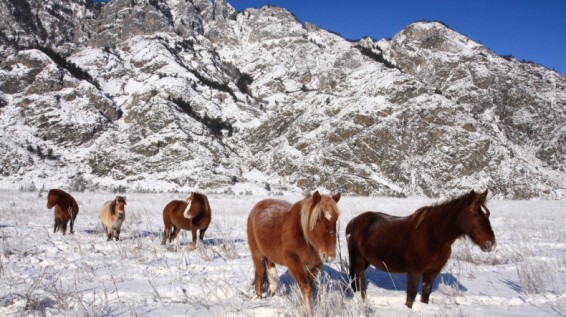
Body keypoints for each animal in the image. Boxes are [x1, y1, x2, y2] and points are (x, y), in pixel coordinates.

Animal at [346, 189, 496, 308]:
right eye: (474, 214)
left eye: (488, 214)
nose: (490, 244)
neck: (434, 236)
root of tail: (353, 222)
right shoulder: (414, 270)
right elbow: (411, 296)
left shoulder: (432, 272)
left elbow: (425, 295)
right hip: (358, 260)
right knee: (360, 281)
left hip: (366, 261)